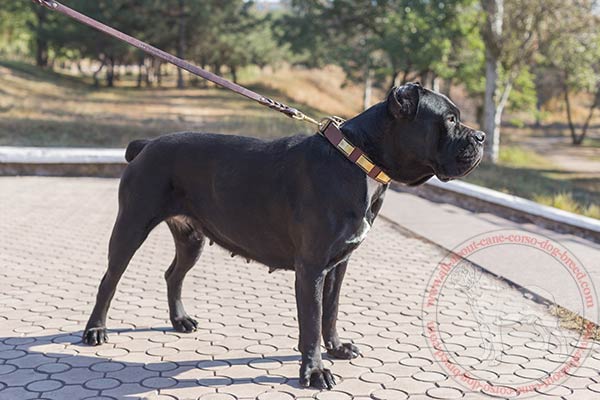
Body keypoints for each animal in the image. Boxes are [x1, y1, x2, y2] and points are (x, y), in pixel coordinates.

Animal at [82, 83, 486, 390]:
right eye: (450, 119)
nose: (481, 136)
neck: (359, 160)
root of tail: (146, 144)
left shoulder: (338, 265)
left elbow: (330, 312)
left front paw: (336, 348)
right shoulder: (312, 268)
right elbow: (311, 322)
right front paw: (315, 371)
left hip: (192, 235)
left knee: (173, 274)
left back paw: (180, 320)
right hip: (131, 225)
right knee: (109, 279)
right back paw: (96, 330)